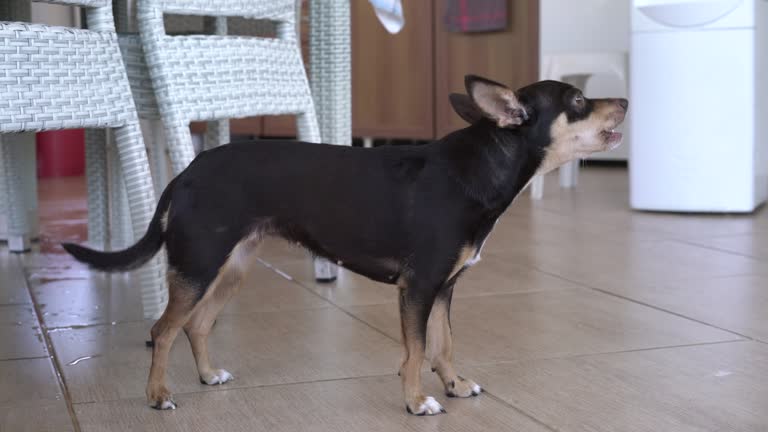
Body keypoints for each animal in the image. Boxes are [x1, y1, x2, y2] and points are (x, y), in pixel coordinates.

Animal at [63, 75, 628, 416]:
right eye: (578, 101)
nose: (624, 100)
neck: (481, 168)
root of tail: (184, 175)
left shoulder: (444, 289)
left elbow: (443, 345)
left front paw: (453, 384)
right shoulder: (418, 288)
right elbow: (415, 350)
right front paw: (416, 400)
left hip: (231, 266)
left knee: (197, 325)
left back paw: (206, 376)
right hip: (199, 264)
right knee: (162, 330)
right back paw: (157, 394)